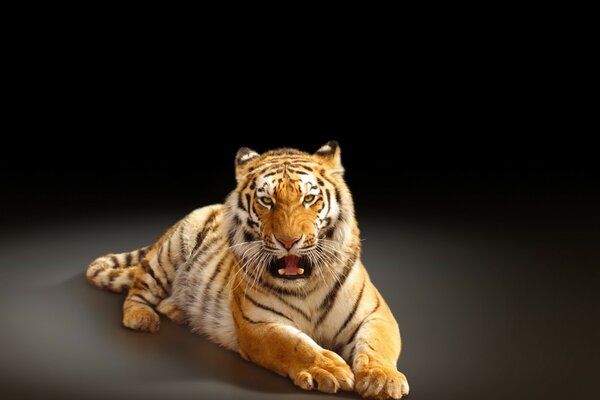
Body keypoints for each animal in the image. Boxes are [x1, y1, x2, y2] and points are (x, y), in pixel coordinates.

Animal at [86, 142, 410, 398]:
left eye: (309, 198)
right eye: (266, 200)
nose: (288, 241)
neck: (306, 286)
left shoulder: (376, 313)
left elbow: (377, 344)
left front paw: (382, 380)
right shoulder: (259, 324)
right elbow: (296, 345)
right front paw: (330, 369)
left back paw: (176, 310)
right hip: (170, 254)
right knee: (138, 288)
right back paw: (142, 317)